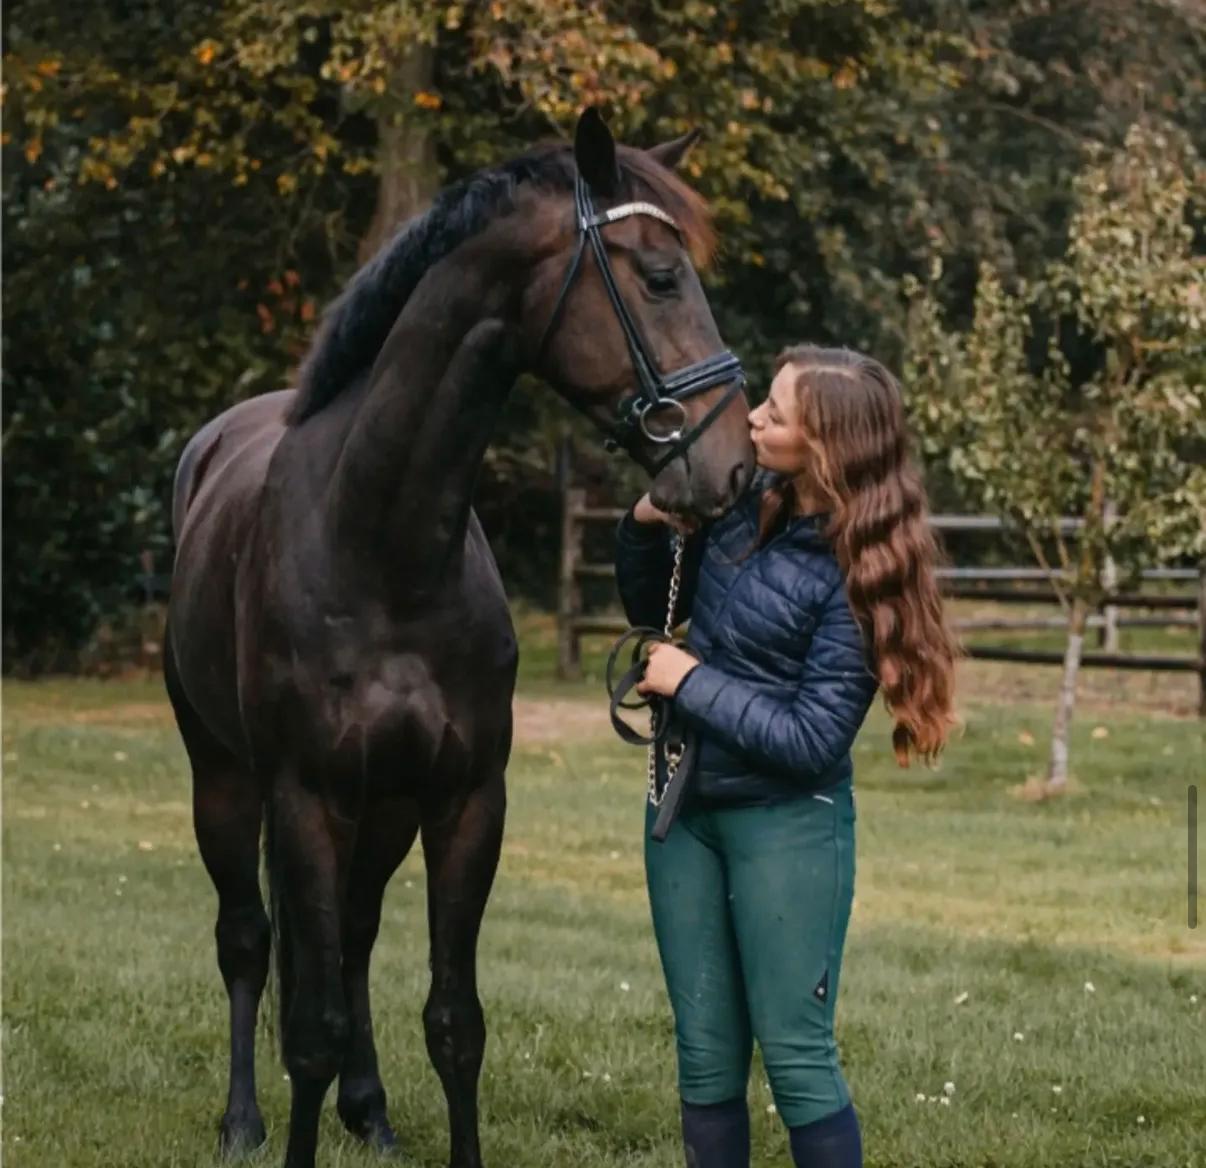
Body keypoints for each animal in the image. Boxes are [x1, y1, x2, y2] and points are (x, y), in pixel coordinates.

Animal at [164, 107, 753, 1168]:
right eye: (658, 276)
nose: (732, 465)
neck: (382, 547)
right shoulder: (305, 798)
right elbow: (306, 1028)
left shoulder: (465, 798)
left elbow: (453, 1022)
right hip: (224, 780)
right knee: (248, 940)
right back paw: (242, 1121)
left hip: (387, 806)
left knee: (354, 938)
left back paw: (371, 1111)